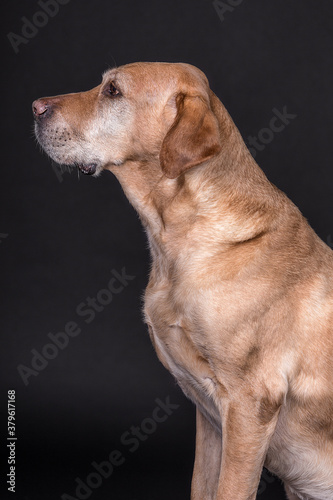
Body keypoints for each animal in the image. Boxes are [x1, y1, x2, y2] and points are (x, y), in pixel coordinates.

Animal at [31, 62, 332, 500]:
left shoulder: (250, 404)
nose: (35, 107)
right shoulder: (211, 420)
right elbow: (202, 488)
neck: (174, 236)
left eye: (113, 91)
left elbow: (230, 491)